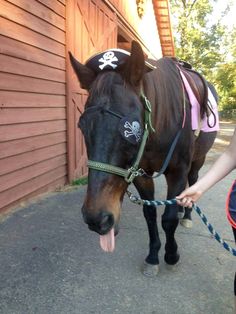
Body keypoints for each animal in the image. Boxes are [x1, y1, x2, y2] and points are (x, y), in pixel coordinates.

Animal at [68, 41, 218, 274]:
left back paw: (186, 216)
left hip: (197, 160)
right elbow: (150, 215)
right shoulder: (140, 173)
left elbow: (168, 219)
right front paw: (153, 256)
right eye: (82, 125)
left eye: (130, 128)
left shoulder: (177, 171)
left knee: (193, 182)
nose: (96, 219)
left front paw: (171, 255)